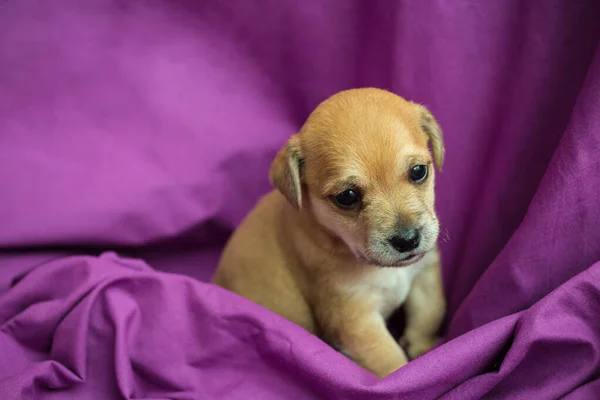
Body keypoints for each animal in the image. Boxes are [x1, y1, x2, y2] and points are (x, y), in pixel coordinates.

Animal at [212, 88, 446, 378]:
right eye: (347, 197)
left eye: (419, 171)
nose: (407, 240)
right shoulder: (354, 317)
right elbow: (388, 360)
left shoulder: (424, 273)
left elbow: (430, 312)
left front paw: (425, 349)